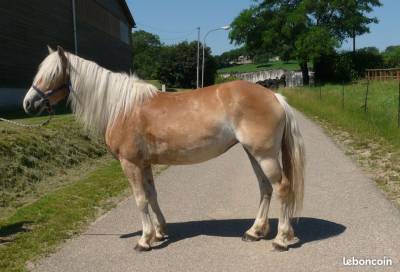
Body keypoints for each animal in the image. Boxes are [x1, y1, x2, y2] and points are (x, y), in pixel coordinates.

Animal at [23, 45, 304, 252]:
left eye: (51, 74)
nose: (28, 103)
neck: (122, 108)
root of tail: (274, 96)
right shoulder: (144, 163)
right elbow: (152, 195)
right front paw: (159, 232)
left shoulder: (130, 163)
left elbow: (139, 199)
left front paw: (144, 240)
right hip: (253, 154)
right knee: (265, 188)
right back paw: (254, 232)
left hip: (264, 155)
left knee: (282, 188)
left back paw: (281, 239)